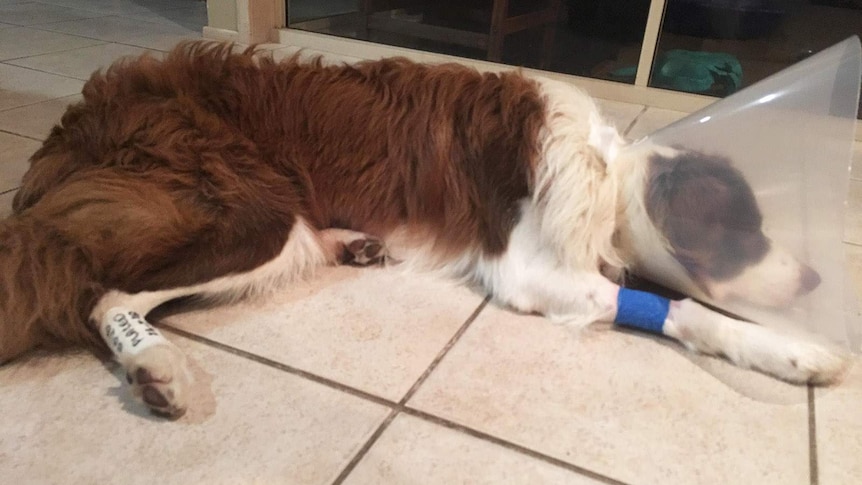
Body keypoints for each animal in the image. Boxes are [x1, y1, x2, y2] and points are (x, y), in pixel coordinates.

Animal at [0, 42, 852, 416]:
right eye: (744, 235)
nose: (817, 278)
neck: (608, 177)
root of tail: (80, 117)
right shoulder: (528, 268)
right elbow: (681, 306)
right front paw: (796, 348)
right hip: (255, 212)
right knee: (99, 292)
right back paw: (157, 369)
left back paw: (355, 241)